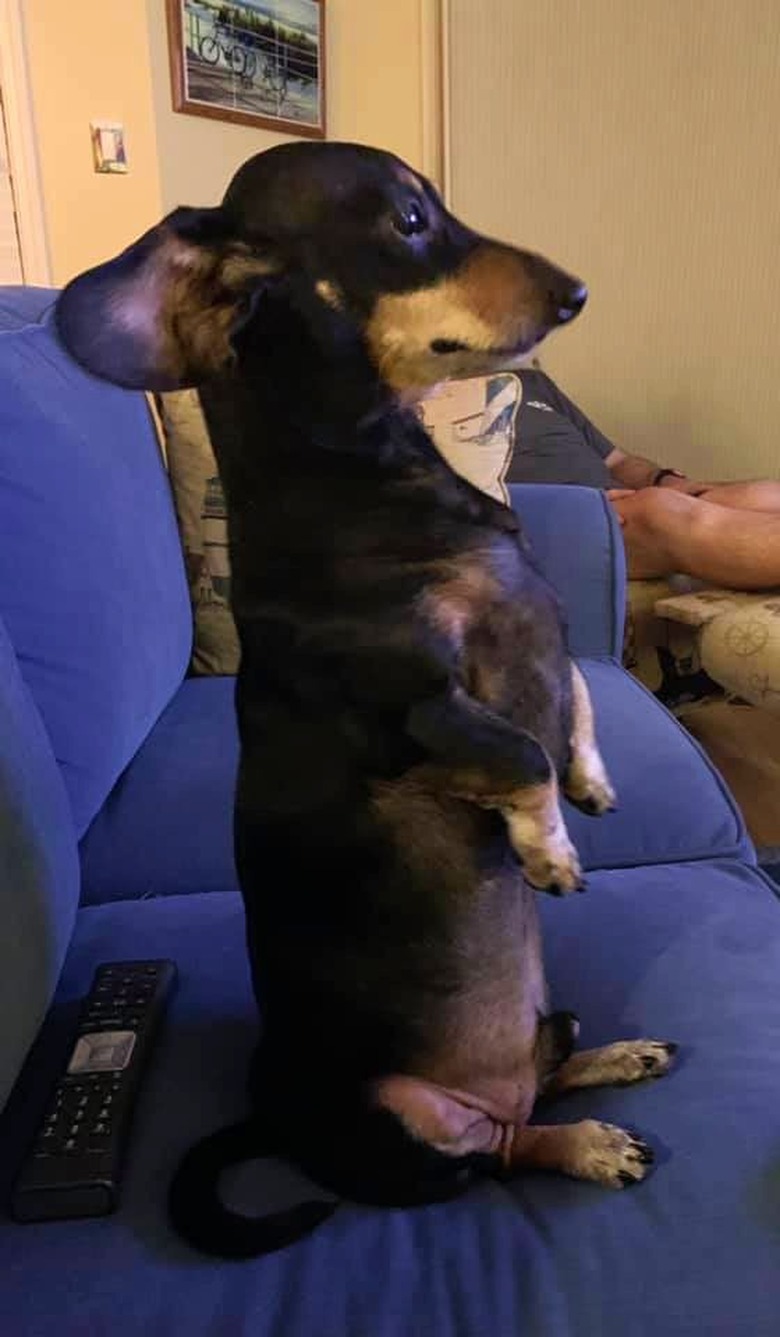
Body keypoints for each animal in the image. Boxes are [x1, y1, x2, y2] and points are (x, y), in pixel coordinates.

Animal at [56, 141, 676, 1256]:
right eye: (409, 220)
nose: (577, 293)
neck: (372, 482)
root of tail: (271, 1112)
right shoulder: (417, 712)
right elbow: (519, 750)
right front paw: (548, 847)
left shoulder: (547, 630)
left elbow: (571, 700)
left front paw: (591, 785)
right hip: (403, 1126)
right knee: (499, 1151)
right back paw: (590, 1144)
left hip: (542, 1020)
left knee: (540, 1079)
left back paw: (615, 1061)